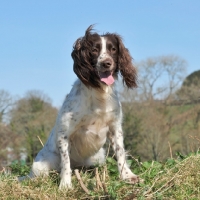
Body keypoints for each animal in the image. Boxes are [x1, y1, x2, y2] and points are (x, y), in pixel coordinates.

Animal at [19, 25, 139, 189]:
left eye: (113, 49)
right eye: (94, 50)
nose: (107, 63)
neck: (99, 93)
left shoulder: (115, 128)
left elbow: (120, 153)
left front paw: (127, 176)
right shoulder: (64, 134)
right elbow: (66, 162)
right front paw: (65, 185)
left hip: (98, 157)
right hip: (40, 166)